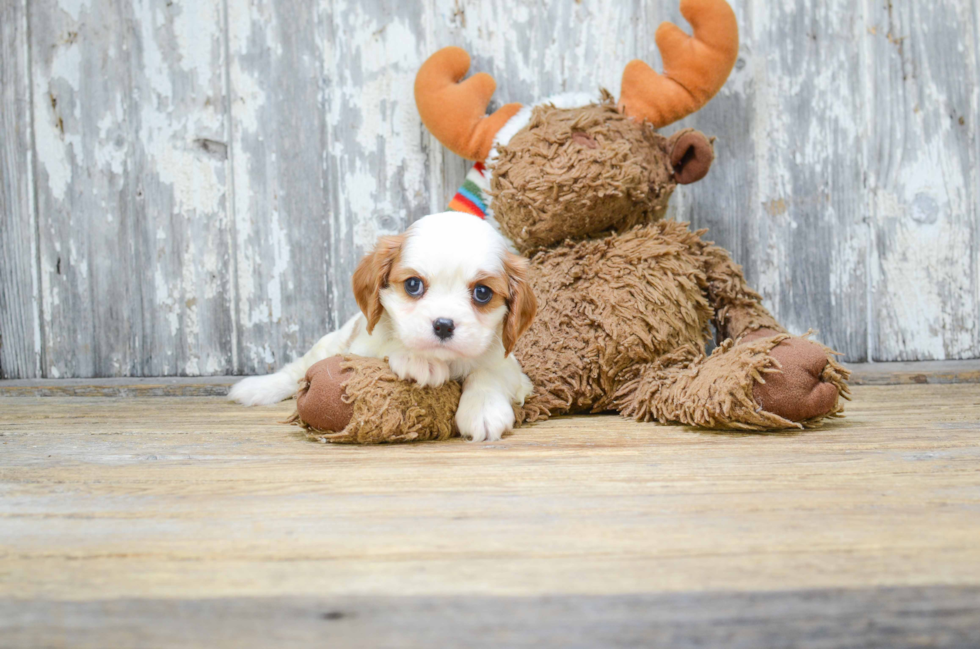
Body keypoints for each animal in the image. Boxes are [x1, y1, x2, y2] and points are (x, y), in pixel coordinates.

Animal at [230, 213, 536, 440]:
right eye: (413, 284)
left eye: (482, 293)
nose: (443, 325)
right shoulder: (360, 348)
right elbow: (385, 346)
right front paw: (417, 359)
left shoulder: (511, 366)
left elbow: (488, 372)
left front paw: (484, 410)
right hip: (328, 344)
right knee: (296, 370)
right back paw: (257, 388)